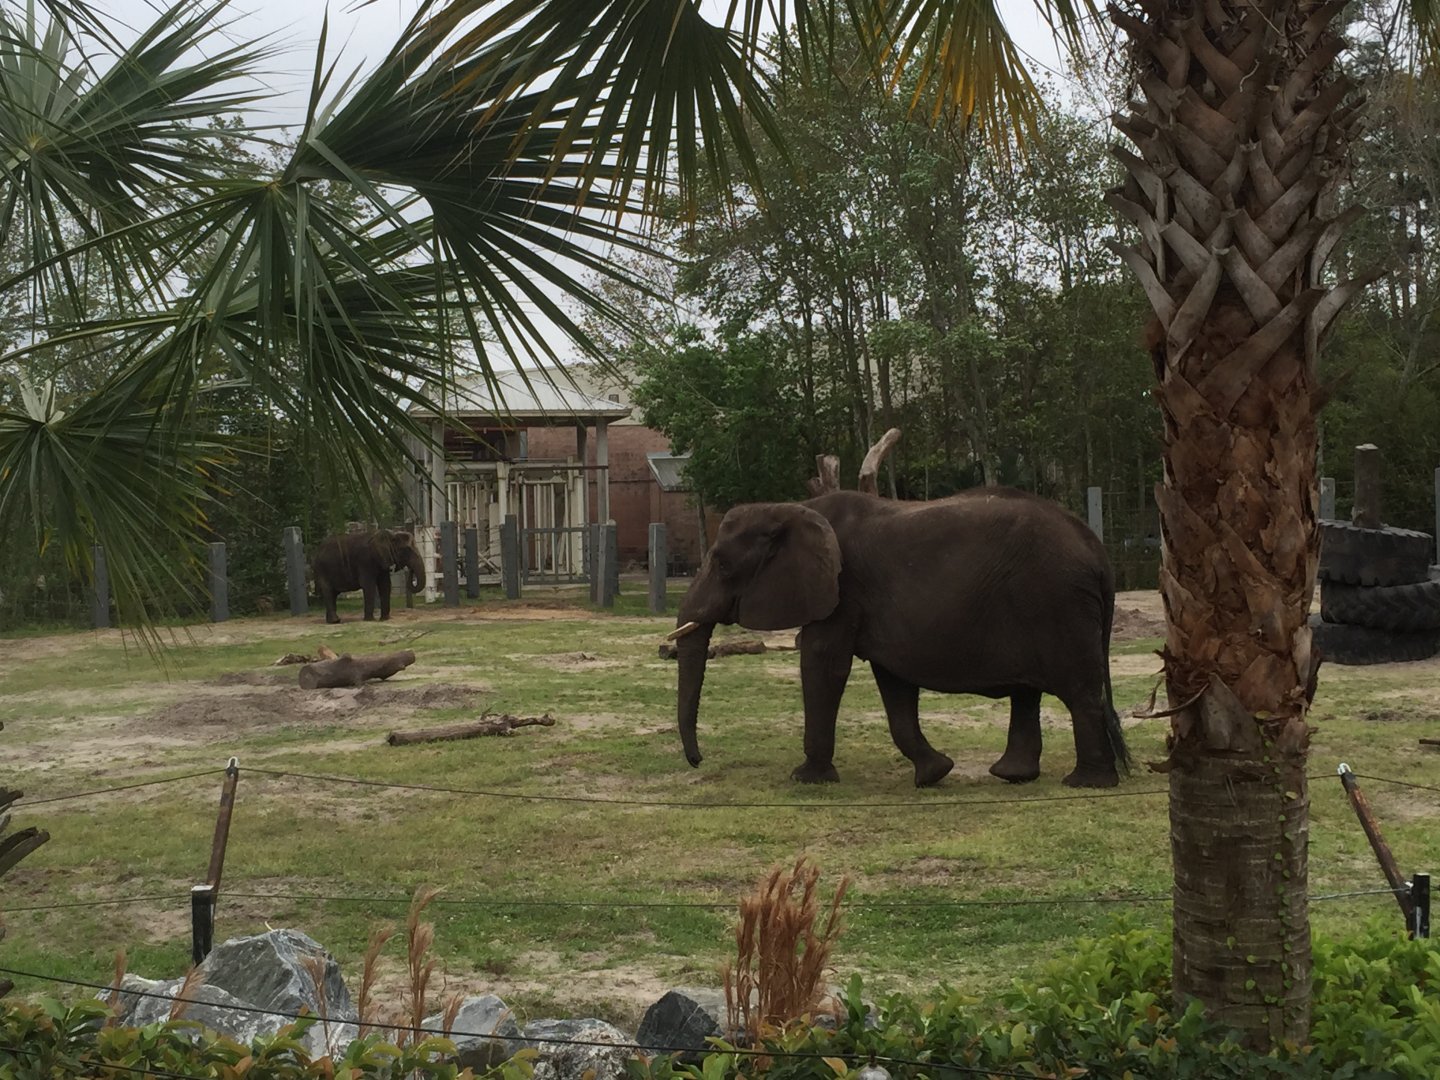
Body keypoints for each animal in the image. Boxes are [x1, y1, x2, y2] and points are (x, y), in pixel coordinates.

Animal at [671, 488, 1131, 788]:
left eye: (722, 564)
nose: (697, 761)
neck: (791, 508)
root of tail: (1097, 549)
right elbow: (893, 683)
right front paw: (934, 774)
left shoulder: (842, 590)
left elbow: (824, 663)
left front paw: (807, 780)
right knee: (1028, 693)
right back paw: (1014, 777)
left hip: (1058, 603)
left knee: (1078, 691)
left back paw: (1086, 783)